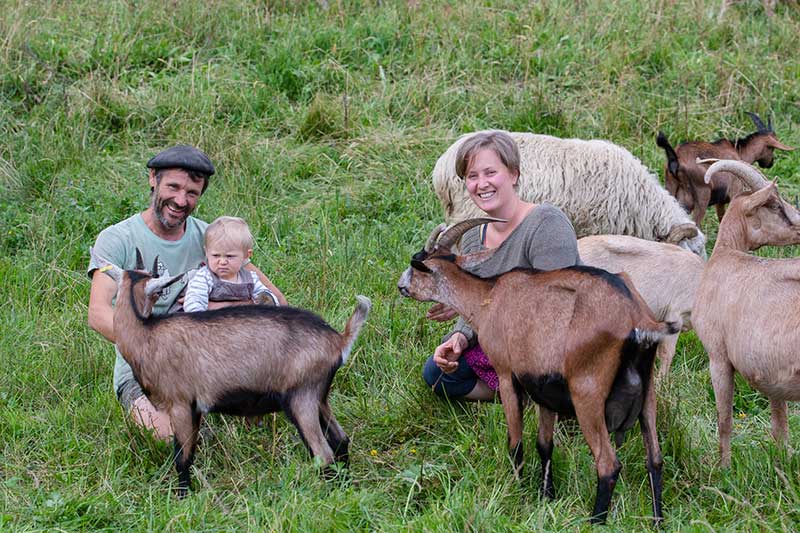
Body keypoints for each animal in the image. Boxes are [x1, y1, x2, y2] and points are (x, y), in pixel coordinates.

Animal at [91, 248, 372, 494]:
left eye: (156, 293)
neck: (146, 335)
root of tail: (338, 340)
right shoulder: (195, 409)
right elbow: (189, 453)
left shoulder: (180, 403)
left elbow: (181, 457)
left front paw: (182, 497)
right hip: (320, 398)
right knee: (341, 440)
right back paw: (346, 487)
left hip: (301, 397)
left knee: (323, 454)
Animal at [396, 217, 680, 524]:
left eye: (416, 264)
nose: (400, 285)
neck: (488, 298)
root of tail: (636, 317)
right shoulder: (544, 388)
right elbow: (544, 445)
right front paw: (546, 497)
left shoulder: (507, 375)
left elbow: (515, 442)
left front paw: (515, 494)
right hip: (648, 393)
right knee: (655, 459)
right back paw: (657, 521)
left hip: (587, 392)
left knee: (608, 464)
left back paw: (595, 522)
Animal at [656, 113, 792, 225]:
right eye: (771, 148)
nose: (770, 163)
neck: (739, 151)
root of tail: (676, 160)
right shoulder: (735, 191)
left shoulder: (720, 202)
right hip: (702, 196)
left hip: (671, 190)